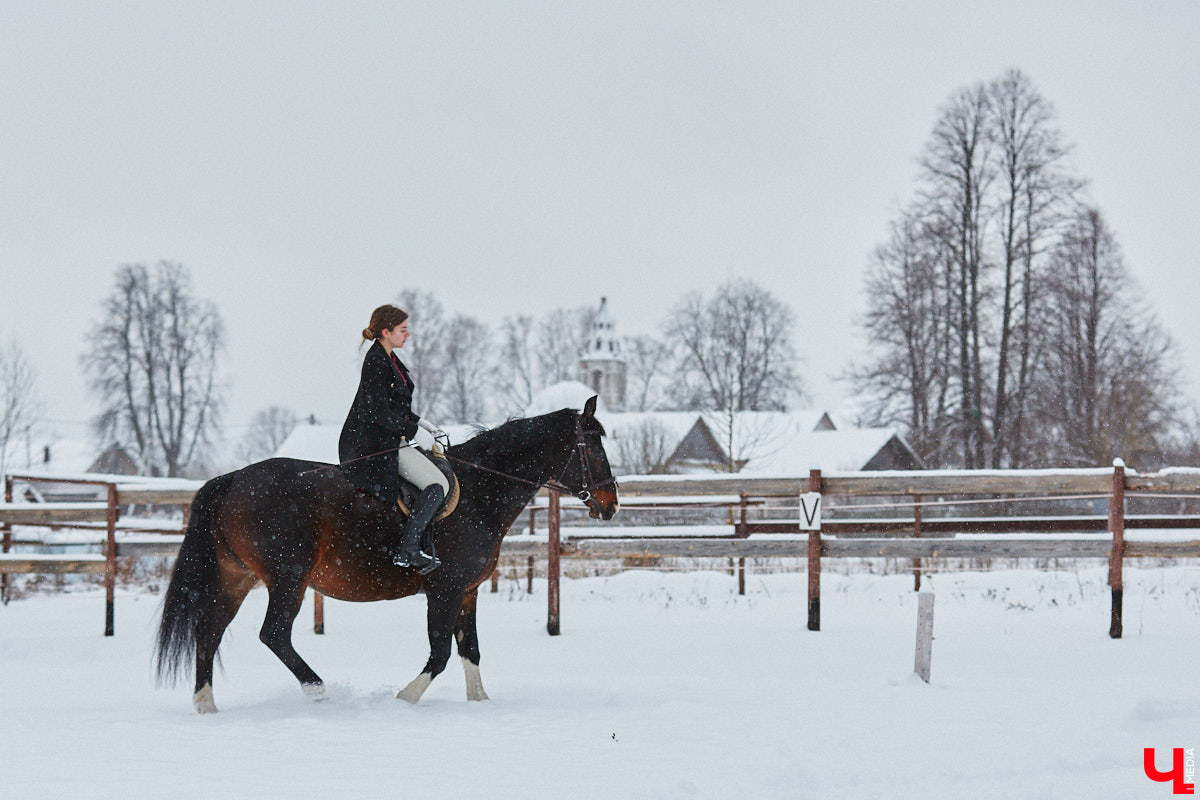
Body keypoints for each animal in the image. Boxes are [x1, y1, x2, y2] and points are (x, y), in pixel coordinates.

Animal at [157, 398, 619, 714]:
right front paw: (403, 700)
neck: (480, 492)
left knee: (210, 630)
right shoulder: (445, 590)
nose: (611, 505)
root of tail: (234, 479)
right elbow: (440, 654)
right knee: (273, 634)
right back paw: (318, 690)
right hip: (288, 578)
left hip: (237, 577)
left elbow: (470, 651)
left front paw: (480, 703)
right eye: (594, 447)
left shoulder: (468, 591)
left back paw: (206, 705)